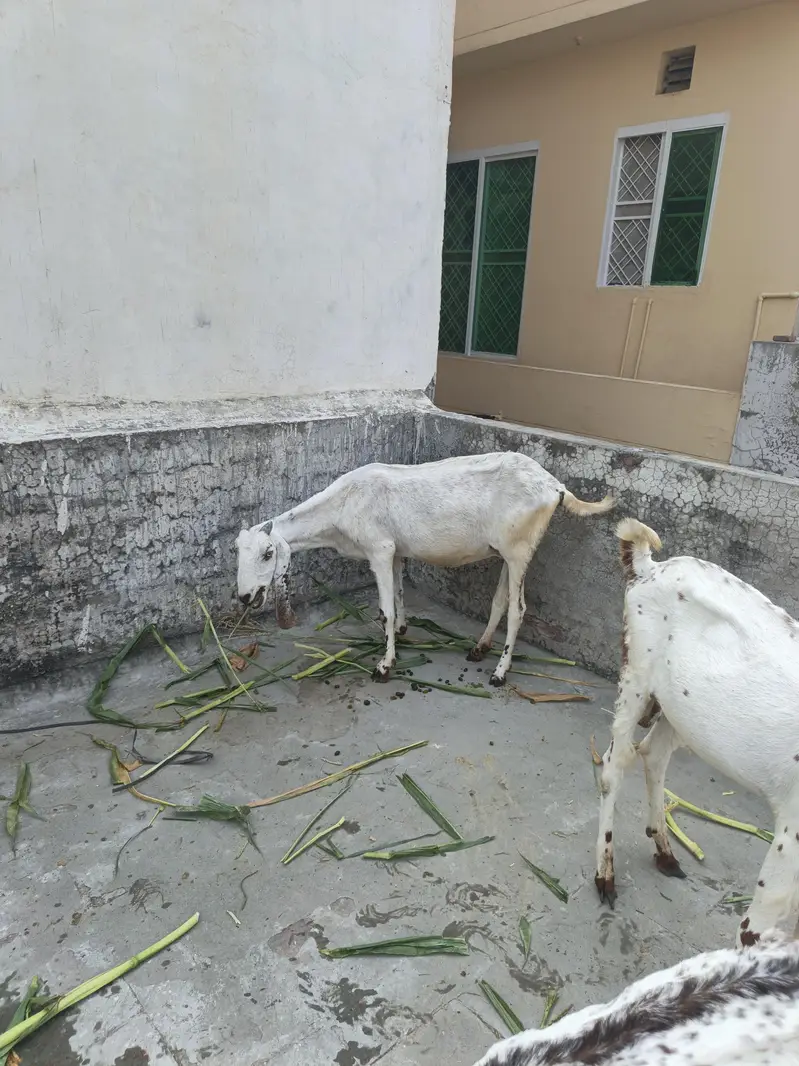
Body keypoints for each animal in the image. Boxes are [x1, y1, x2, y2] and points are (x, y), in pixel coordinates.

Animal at [235, 452, 613, 684]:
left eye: (268, 553)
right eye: (236, 553)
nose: (245, 597)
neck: (343, 504)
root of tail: (555, 486)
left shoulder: (379, 549)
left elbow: (384, 610)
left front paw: (385, 665)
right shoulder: (396, 552)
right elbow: (400, 595)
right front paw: (403, 630)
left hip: (520, 550)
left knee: (519, 609)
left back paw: (499, 672)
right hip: (508, 551)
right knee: (501, 600)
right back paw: (479, 649)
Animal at [596, 518, 799, 948]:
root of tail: (651, 566)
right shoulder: (791, 839)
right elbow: (753, 929)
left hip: (679, 710)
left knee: (653, 754)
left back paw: (664, 849)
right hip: (635, 676)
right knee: (613, 765)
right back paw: (605, 873)